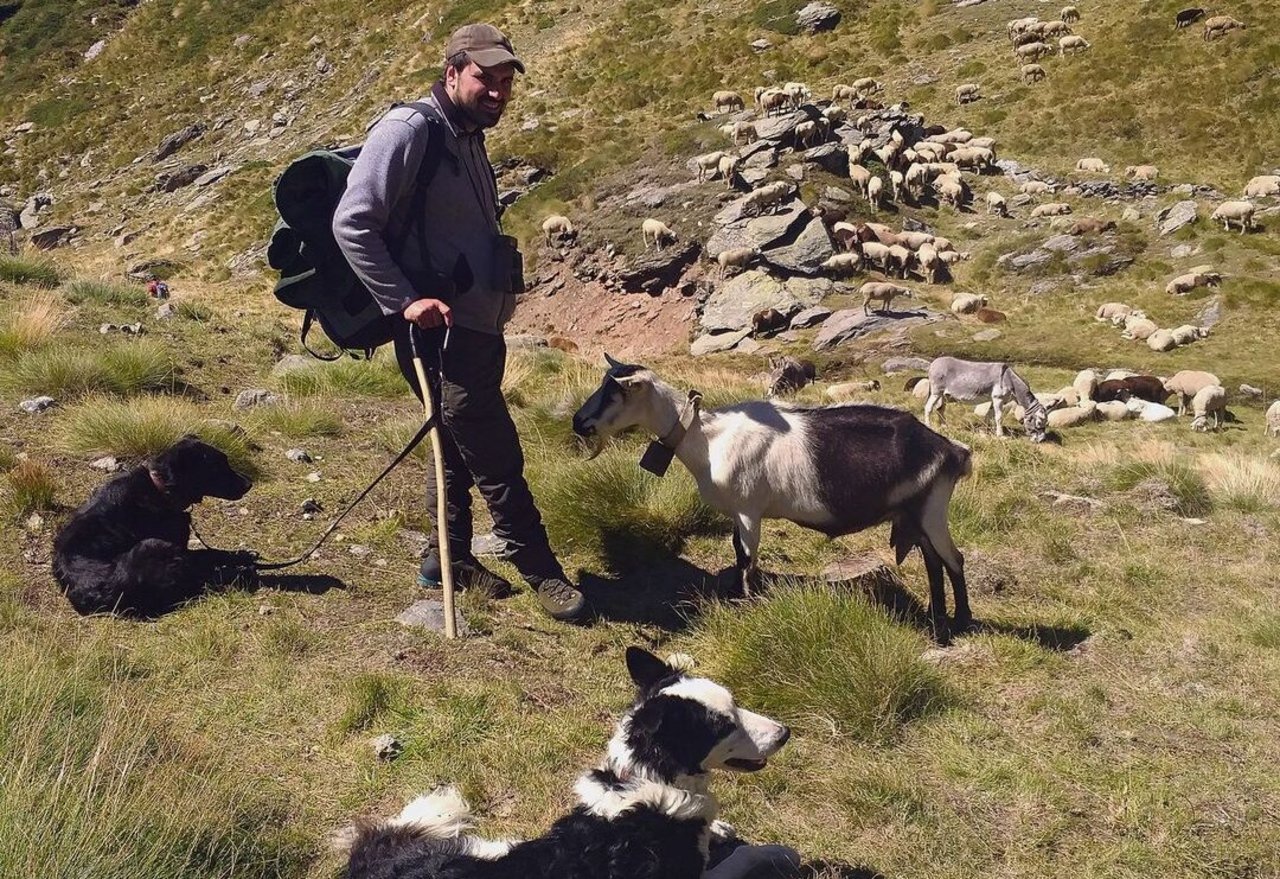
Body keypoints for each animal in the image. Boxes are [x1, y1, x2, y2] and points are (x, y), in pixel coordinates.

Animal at [53, 435, 257, 616]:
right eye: (216, 467)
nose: (249, 484)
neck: (161, 489)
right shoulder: (178, 547)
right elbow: (206, 555)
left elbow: (210, 553)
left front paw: (240, 556)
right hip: (155, 546)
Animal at [570, 355, 967, 639]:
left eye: (616, 392)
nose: (578, 422)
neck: (709, 439)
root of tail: (952, 452)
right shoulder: (738, 511)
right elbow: (736, 549)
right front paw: (733, 592)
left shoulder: (749, 509)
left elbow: (747, 556)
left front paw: (746, 601)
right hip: (916, 515)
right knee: (934, 562)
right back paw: (937, 620)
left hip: (931, 511)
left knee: (953, 559)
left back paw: (959, 622)